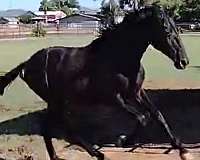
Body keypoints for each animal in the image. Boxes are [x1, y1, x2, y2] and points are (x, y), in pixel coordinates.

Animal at [0, 5, 191, 160]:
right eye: (165, 29)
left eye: (176, 27)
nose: (183, 62)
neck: (118, 58)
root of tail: (26, 64)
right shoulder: (114, 98)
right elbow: (142, 117)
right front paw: (123, 140)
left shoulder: (136, 92)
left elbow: (156, 115)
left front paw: (181, 148)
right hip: (55, 101)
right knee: (60, 128)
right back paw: (97, 153)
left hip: (58, 101)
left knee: (53, 128)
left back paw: (64, 156)